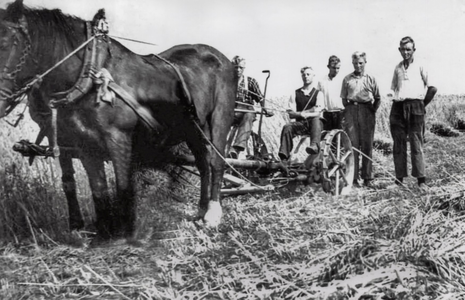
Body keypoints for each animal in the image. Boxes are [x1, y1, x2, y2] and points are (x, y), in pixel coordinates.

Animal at [0, 0, 234, 239]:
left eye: (6, 43)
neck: (90, 73)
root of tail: (219, 56)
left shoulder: (118, 139)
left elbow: (122, 187)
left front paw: (124, 231)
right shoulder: (84, 145)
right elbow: (97, 189)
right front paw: (102, 231)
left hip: (220, 118)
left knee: (216, 162)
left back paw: (213, 215)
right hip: (193, 129)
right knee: (203, 163)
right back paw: (201, 210)